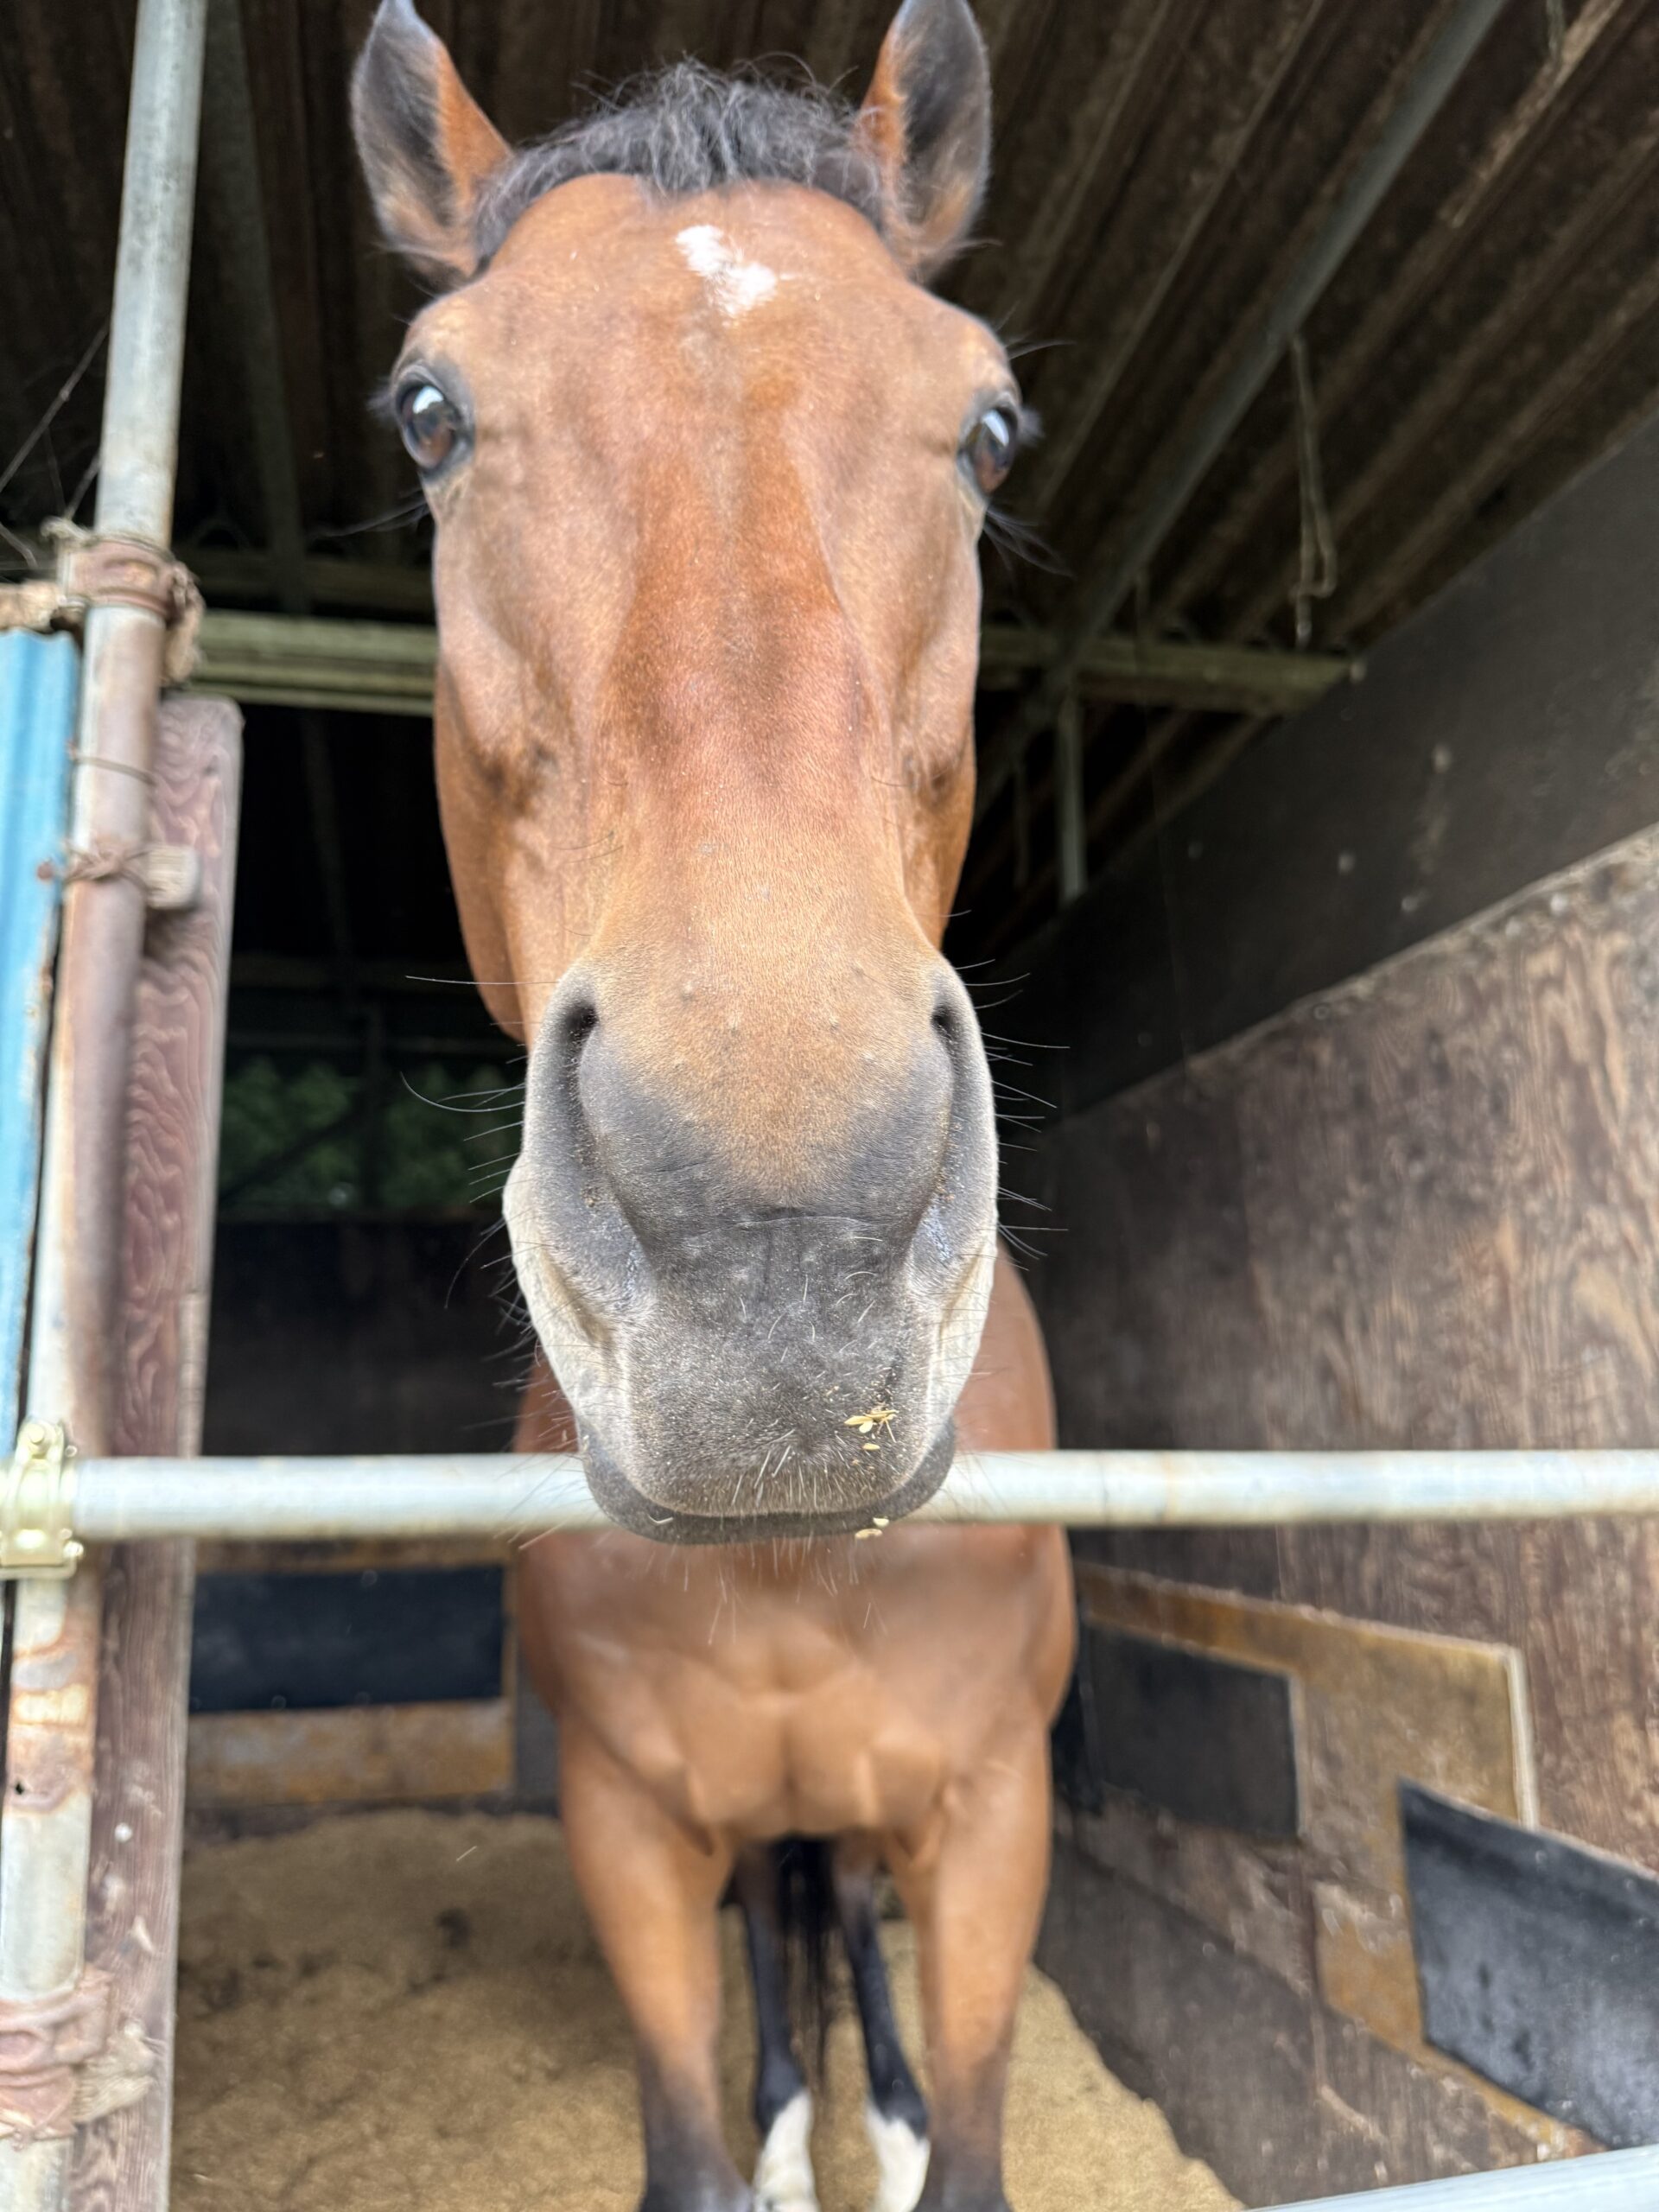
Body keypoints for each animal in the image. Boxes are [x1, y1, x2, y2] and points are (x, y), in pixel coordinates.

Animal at [350, 5, 1075, 2207]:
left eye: (988, 428)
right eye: (430, 412)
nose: (780, 1251)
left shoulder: (989, 1814)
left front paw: (910, 2124)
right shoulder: (632, 1835)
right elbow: (688, 2117)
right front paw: (757, 2129)